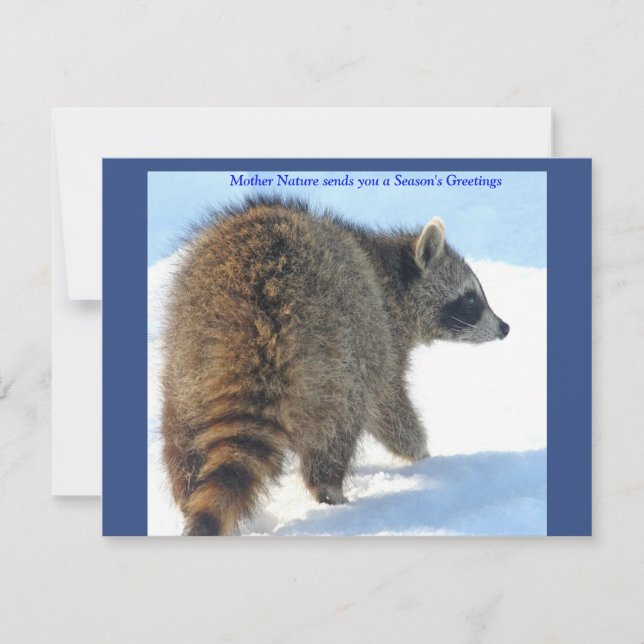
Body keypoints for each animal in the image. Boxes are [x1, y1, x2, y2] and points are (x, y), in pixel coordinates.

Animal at [161, 197, 509, 535]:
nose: (505, 328)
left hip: (188, 351)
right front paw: (420, 453)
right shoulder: (380, 332)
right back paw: (329, 489)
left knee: (180, 430)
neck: (387, 268)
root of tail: (255, 309)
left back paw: (186, 491)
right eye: (470, 299)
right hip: (331, 349)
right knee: (341, 419)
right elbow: (388, 406)